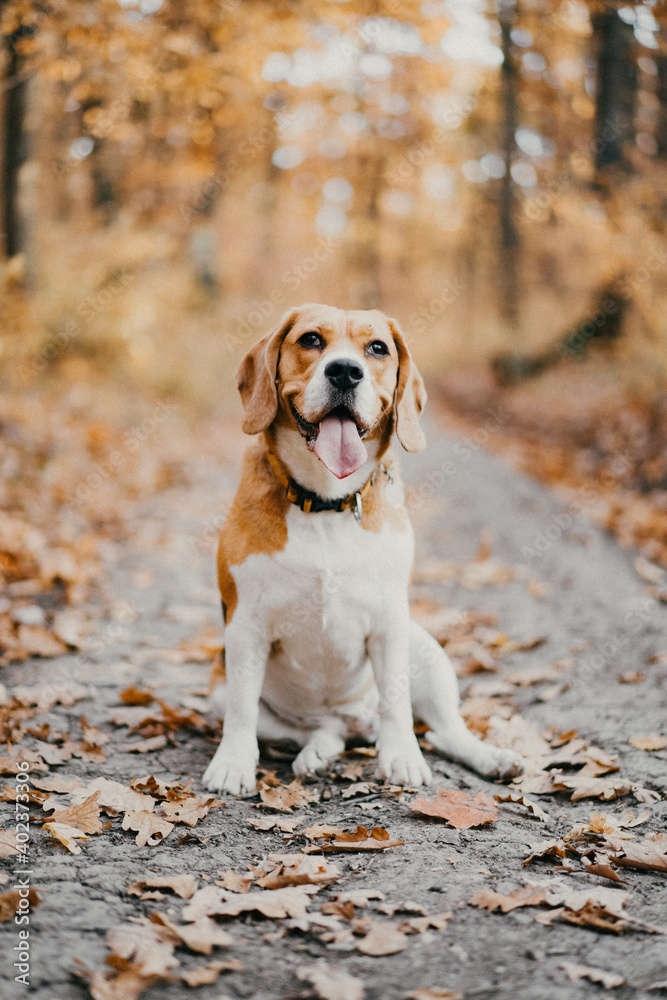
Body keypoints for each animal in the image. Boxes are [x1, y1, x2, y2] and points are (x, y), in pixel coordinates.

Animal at [204, 304, 520, 796]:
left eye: (377, 348)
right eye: (311, 339)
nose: (345, 371)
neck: (326, 502)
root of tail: (355, 722)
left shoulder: (390, 623)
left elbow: (397, 702)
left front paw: (402, 757)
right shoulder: (244, 629)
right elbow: (242, 710)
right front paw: (233, 764)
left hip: (426, 650)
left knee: (446, 731)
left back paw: (489, 756)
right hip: (221, 693)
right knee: (316, 730)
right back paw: (317, 753)